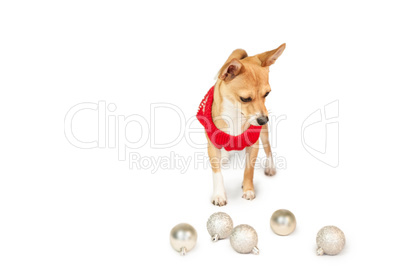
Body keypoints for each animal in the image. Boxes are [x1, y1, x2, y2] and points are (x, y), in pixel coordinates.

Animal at [196, 44, 284, 207]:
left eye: (267, 94)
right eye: (245, 99)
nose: (263, 120)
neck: (235, 115)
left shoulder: (254, 144)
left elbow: (249, 170)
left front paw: (248, 189)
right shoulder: (212, 146)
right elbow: (216, 172)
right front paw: (219, 194)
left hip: (264, 134)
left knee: (268, 148)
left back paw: (270, 167)